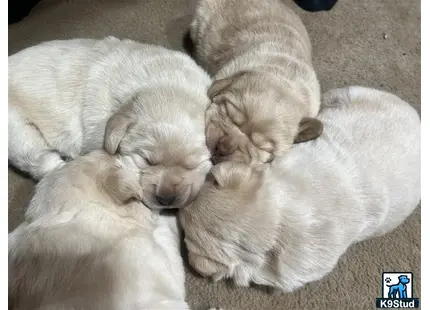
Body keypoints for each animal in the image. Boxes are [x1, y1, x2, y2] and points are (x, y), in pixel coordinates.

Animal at [9, 37, 212, 211]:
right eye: (147, 160)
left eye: (192, 166)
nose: (166, 199)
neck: (166, 84)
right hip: (21, 135)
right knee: (42, 162)